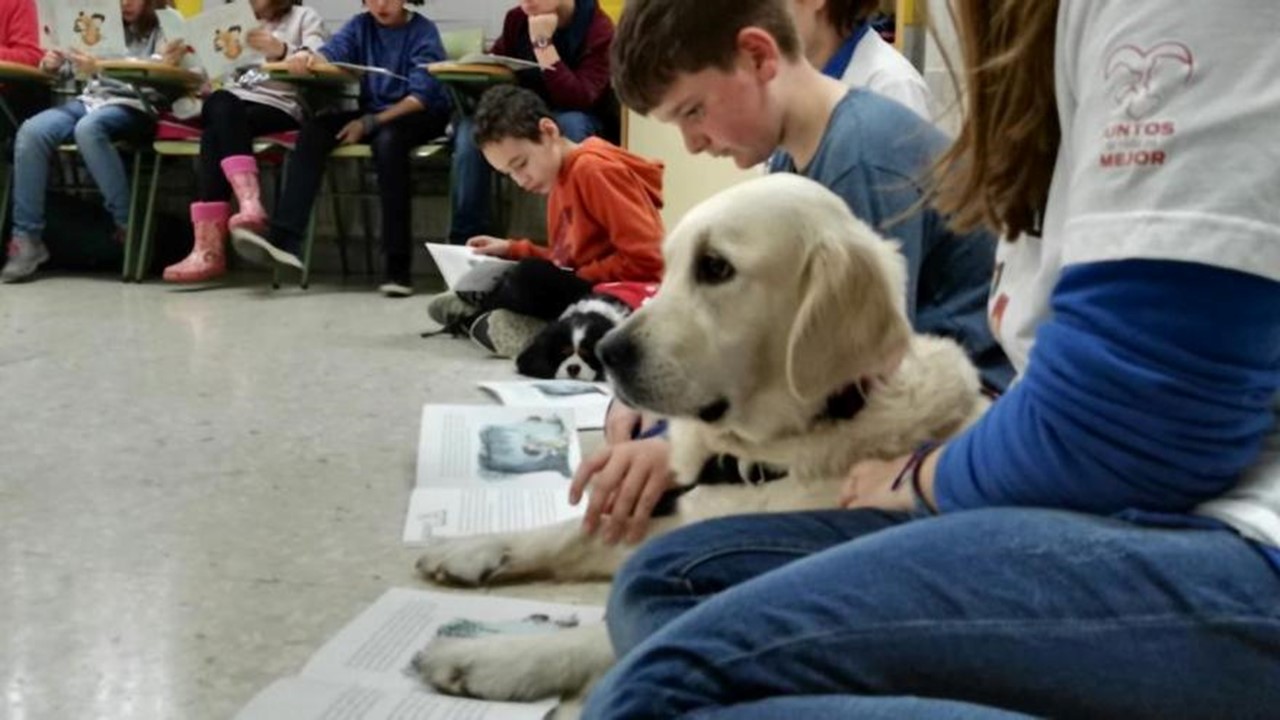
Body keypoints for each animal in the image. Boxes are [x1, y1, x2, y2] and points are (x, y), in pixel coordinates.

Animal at [414, 172, 983, 712]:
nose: (607, 351)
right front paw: (471, 547)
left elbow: (619, 634)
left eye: (715, 267)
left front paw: (488, 657)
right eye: (668, 268)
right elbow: (570, 532)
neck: (769, 457)